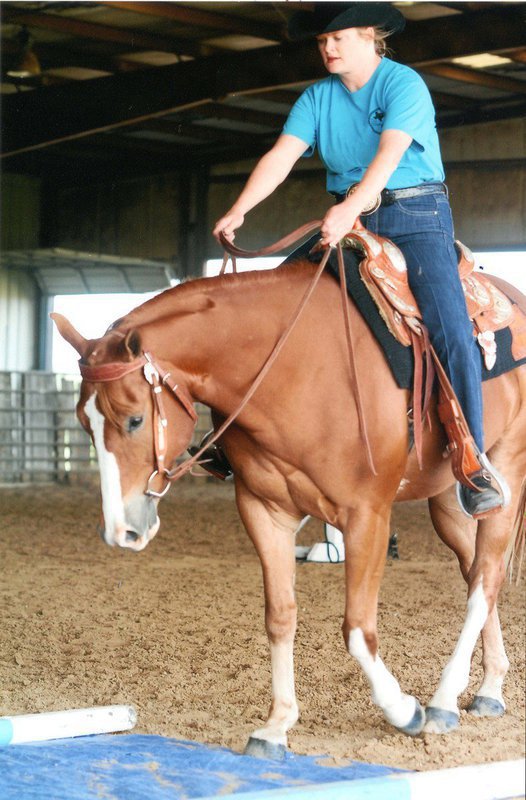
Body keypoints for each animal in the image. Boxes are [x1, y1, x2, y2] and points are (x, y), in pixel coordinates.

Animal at [52, 238, 526, 758]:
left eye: (135, 419)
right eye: (84, 422)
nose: (121, 530)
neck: (294, 367)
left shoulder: (366, 517)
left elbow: (357, 628)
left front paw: (403, 710)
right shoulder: (265, 511)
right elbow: (280, 617)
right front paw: (277, 725)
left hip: (507, 468)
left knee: (485, 577)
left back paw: (441, 703)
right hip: (447, 501)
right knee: (477, 572)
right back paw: (489, 688)